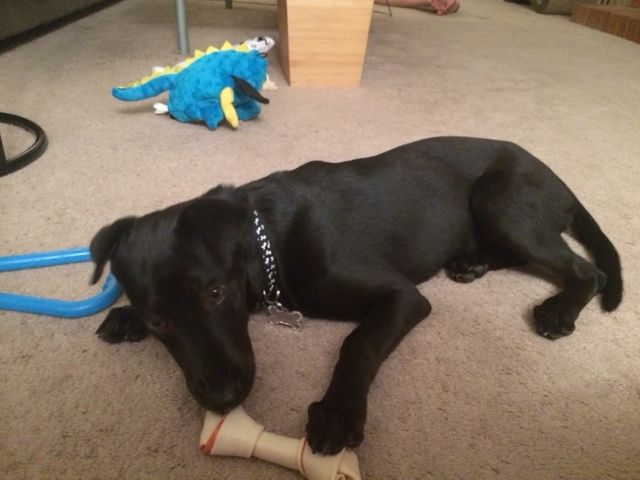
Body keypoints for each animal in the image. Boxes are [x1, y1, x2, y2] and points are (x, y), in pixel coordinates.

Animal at [90, 136, 623, 455]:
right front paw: (124, 315)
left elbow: (357, 344)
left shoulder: (402, 296)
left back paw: (559, 309)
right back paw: (472, 263)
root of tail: (559, 180)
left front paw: (337, 413)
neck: (269, 242)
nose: (223, 398)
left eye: (216, 294)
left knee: (587, 270)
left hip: (498, 201)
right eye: (158, 322)